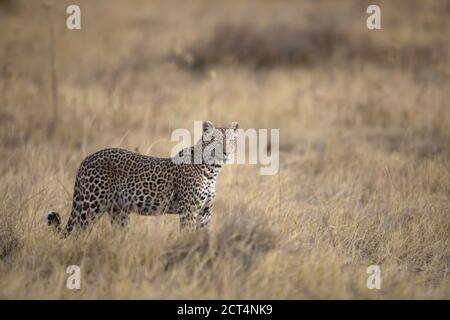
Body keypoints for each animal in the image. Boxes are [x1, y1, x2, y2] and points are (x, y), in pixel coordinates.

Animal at [46, 121, 239, 236]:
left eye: (231, 140)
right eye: (216, 140)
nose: (226, 152)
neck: (212, 171)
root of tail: (86, 159)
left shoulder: (205, 213)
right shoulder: (189, 211)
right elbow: (188, 236)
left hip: (119, 211)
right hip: (90, 206)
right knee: (75, 234)